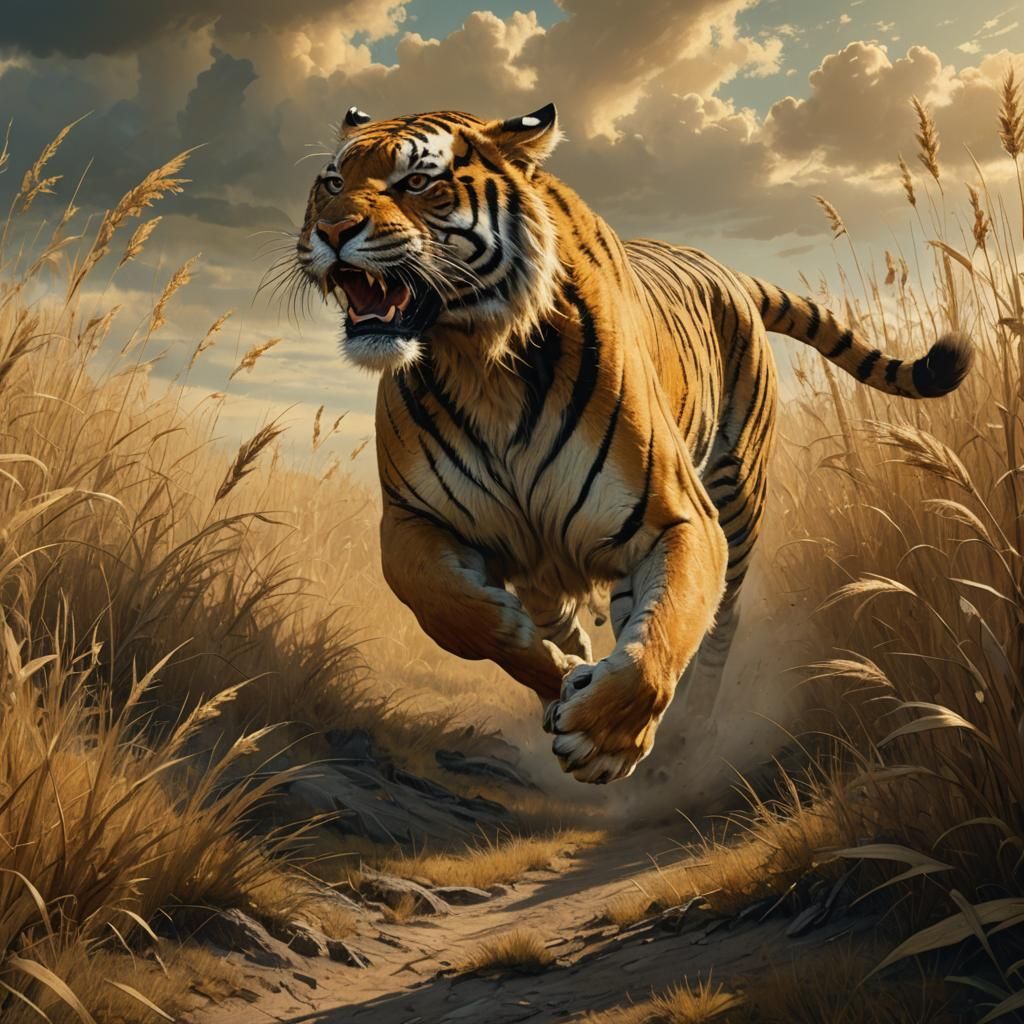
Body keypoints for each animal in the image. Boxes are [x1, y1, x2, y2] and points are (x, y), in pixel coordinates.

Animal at [295, 102, 971, 785]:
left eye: (416, 181)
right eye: (332, 182)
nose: (330, 232)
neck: (480, 362)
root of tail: (729, 271)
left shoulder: (681, 518)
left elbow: (664, 635)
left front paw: (604, 736)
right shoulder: (410, 520)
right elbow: (454, 610)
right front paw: (555, 668)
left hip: (735, 500)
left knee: (715, 629)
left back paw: (688, 731)